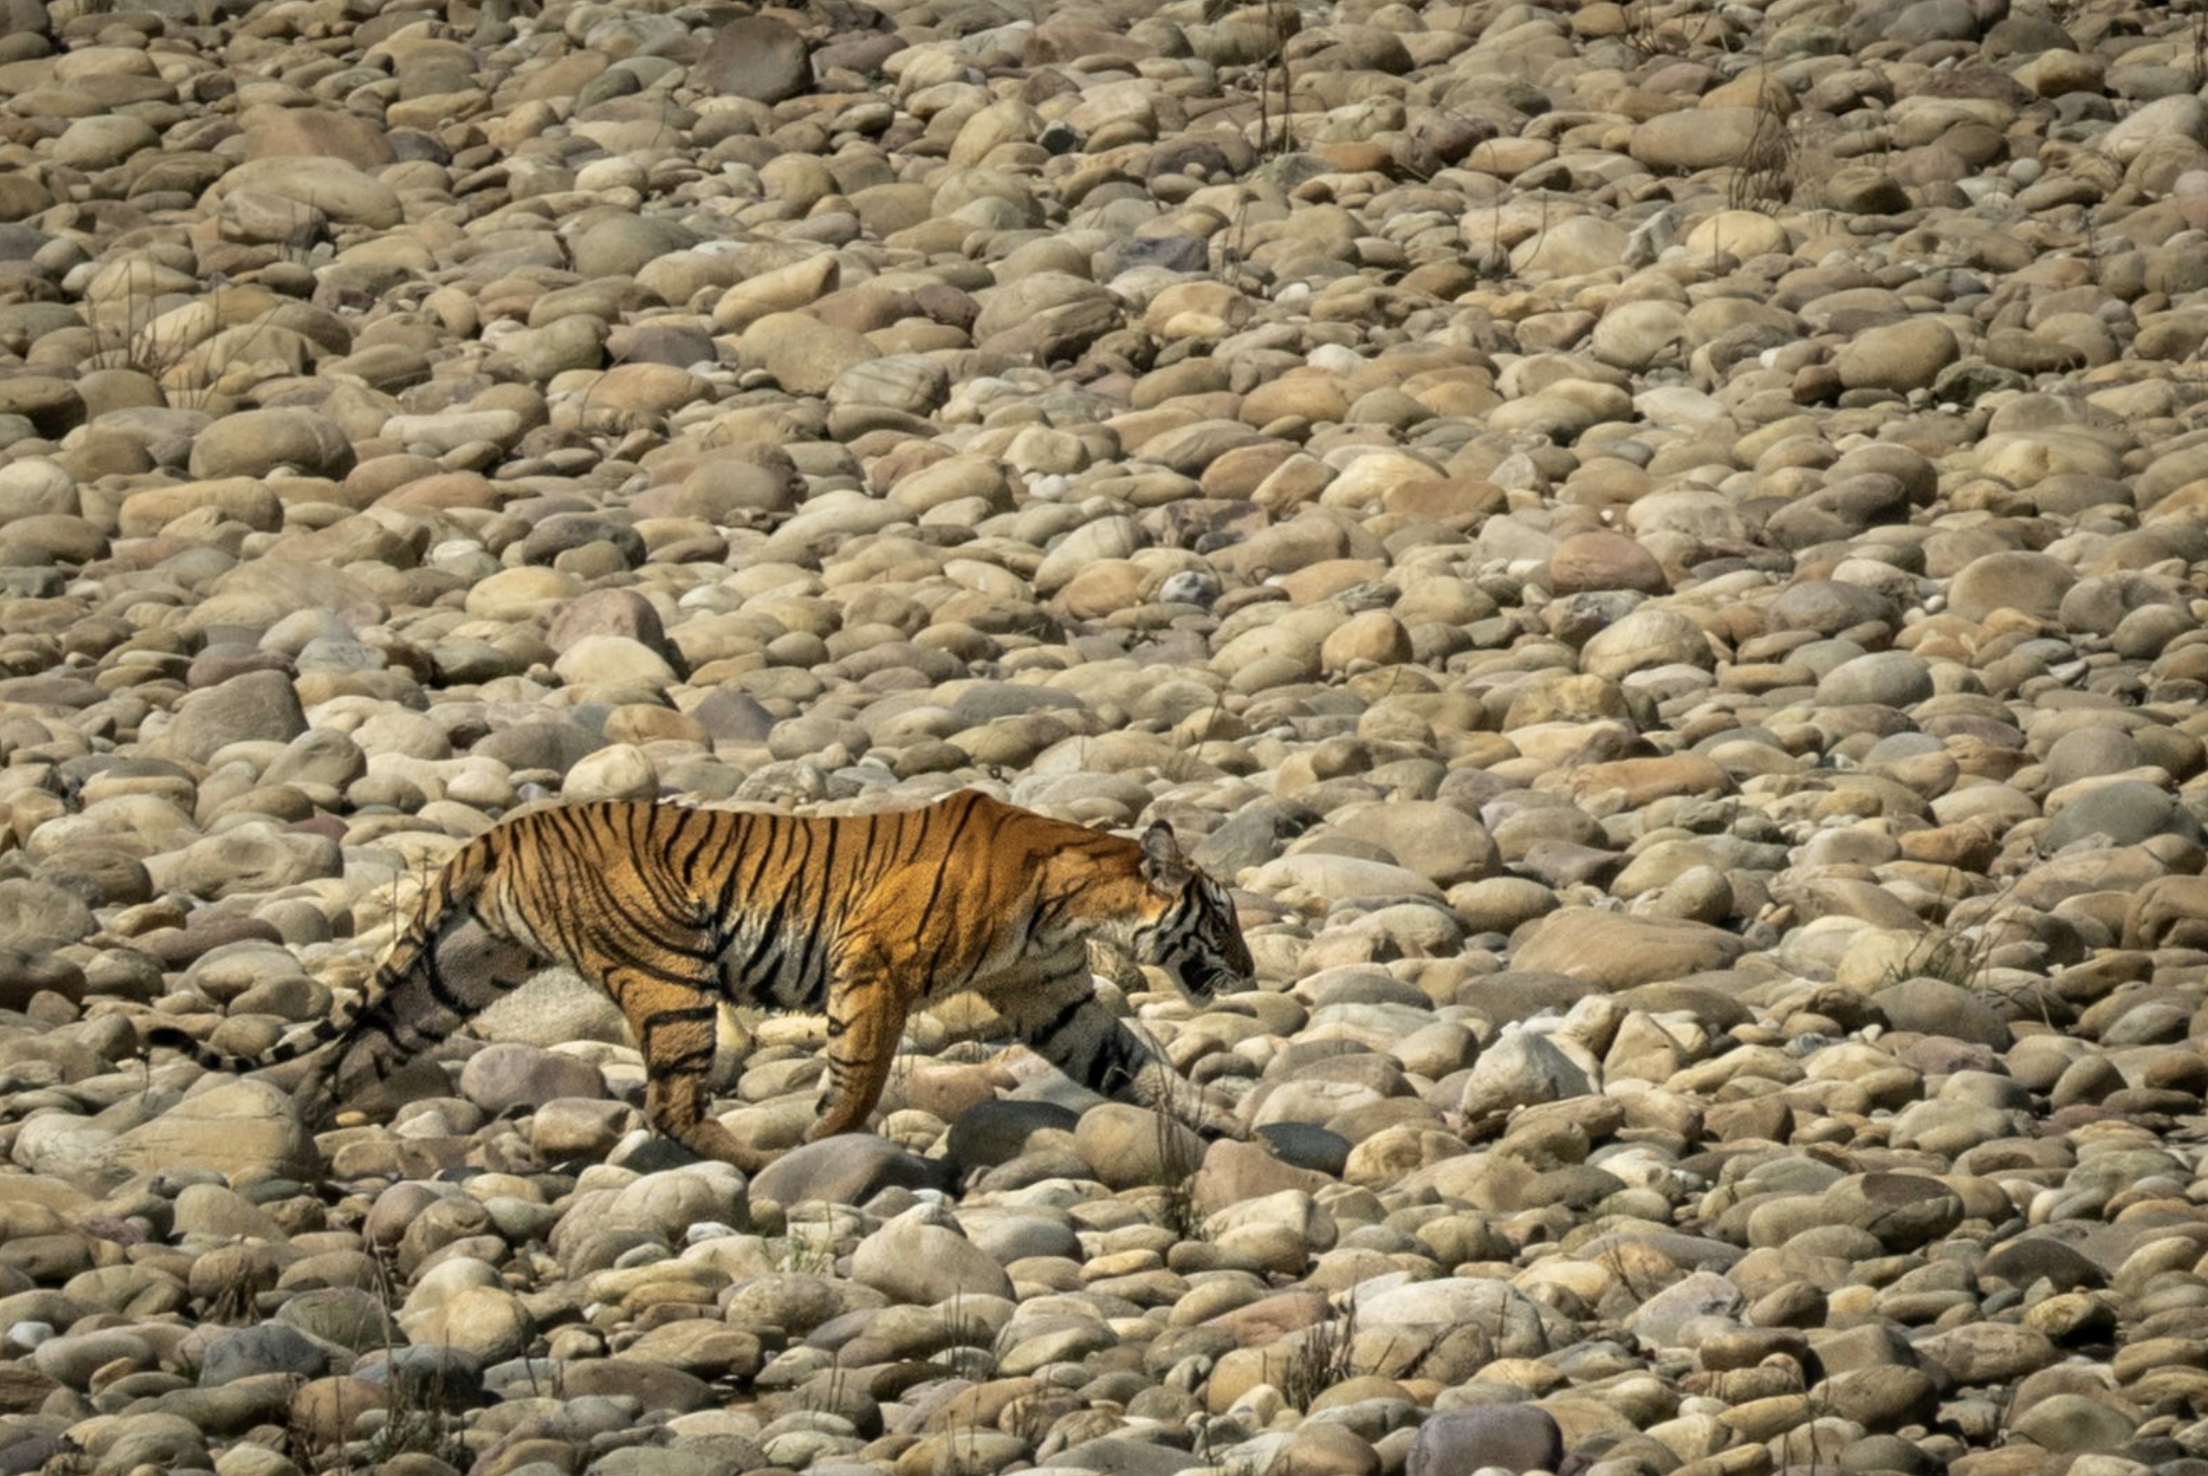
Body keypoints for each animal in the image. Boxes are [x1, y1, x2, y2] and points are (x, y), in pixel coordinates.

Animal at [148, 789, 1253, 1172]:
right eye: (1225, 918)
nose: (1247, 970)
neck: (1076, 897)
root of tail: (505, 829)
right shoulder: (877, 969)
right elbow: (856, 1080)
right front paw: (824, 1148)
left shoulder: (1054, 998)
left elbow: (1139, 1066)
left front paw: (1232, 1132)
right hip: (670, 975)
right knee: (671, 1100)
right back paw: (758, 1165)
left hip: (453, 976)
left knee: (349, 1055)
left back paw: (296, 1151)